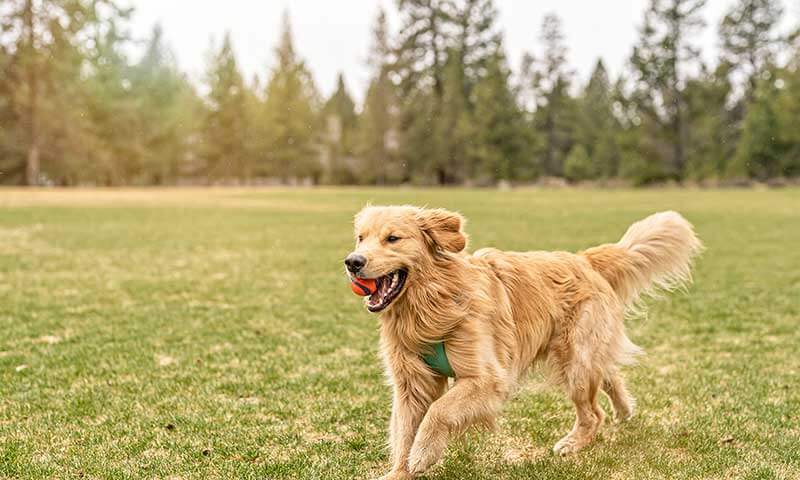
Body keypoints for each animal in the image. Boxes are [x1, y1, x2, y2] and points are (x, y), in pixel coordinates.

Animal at [344, 205, 700, 476]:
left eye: (392, 238)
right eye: (361, 238)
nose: (353, 261)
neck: (431, 306)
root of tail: (583, 259)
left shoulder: (487, 380)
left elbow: (438, 411)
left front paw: (422, 455)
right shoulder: (410, 385)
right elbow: (404, 431)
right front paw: (400, 471)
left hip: (575, 362)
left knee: (593, 413)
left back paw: (573, 442)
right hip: (584, 356)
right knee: (610, 373)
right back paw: (625, 410)